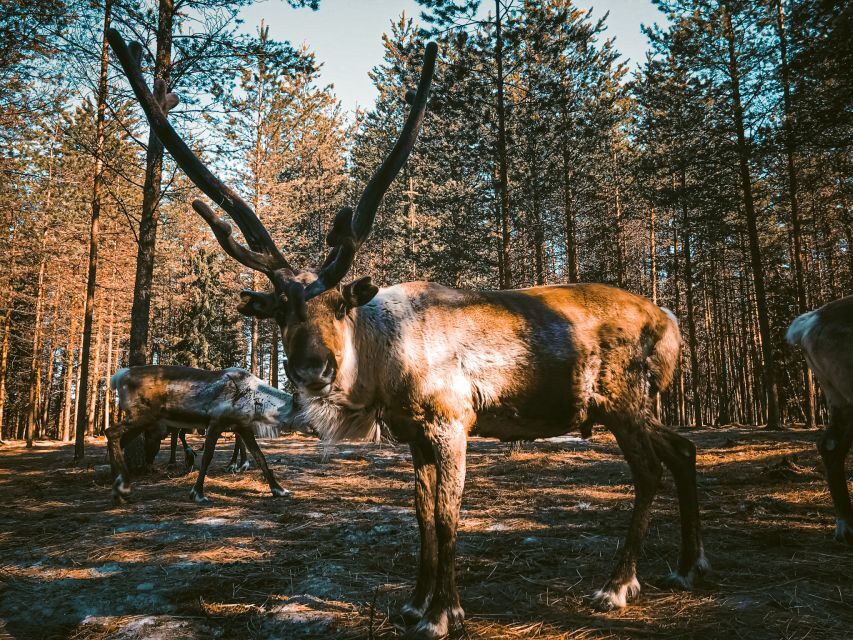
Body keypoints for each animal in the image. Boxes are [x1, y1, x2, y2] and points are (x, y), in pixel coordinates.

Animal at [108, 365, 302, 504]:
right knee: (111, 432)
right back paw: (122, 485)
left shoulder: (242, 427)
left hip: (142, 420)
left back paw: (118, 487)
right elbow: (207, 457)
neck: (258, 399)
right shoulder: (216, 423)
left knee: (118, 440)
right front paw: (198, 493)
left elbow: (260, 457)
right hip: (141, 416)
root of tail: (118, 376)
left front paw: (279, 490)